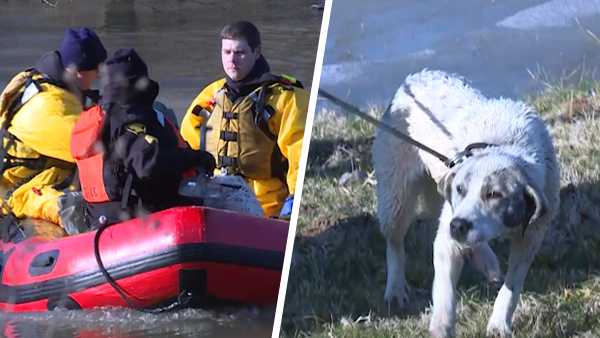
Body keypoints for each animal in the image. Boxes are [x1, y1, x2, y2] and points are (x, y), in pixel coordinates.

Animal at [372, 70, 560, 336]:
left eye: (494, 194)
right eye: (460, 189)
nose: (459, 226)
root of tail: (413, 77)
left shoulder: (531, 237)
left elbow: (512, 285)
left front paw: (499, 323)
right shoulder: (447, 238)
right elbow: (444, 293)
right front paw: (441, 326)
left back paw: (487, 262)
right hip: (396, 198)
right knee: (395, 243)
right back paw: (396, 288)